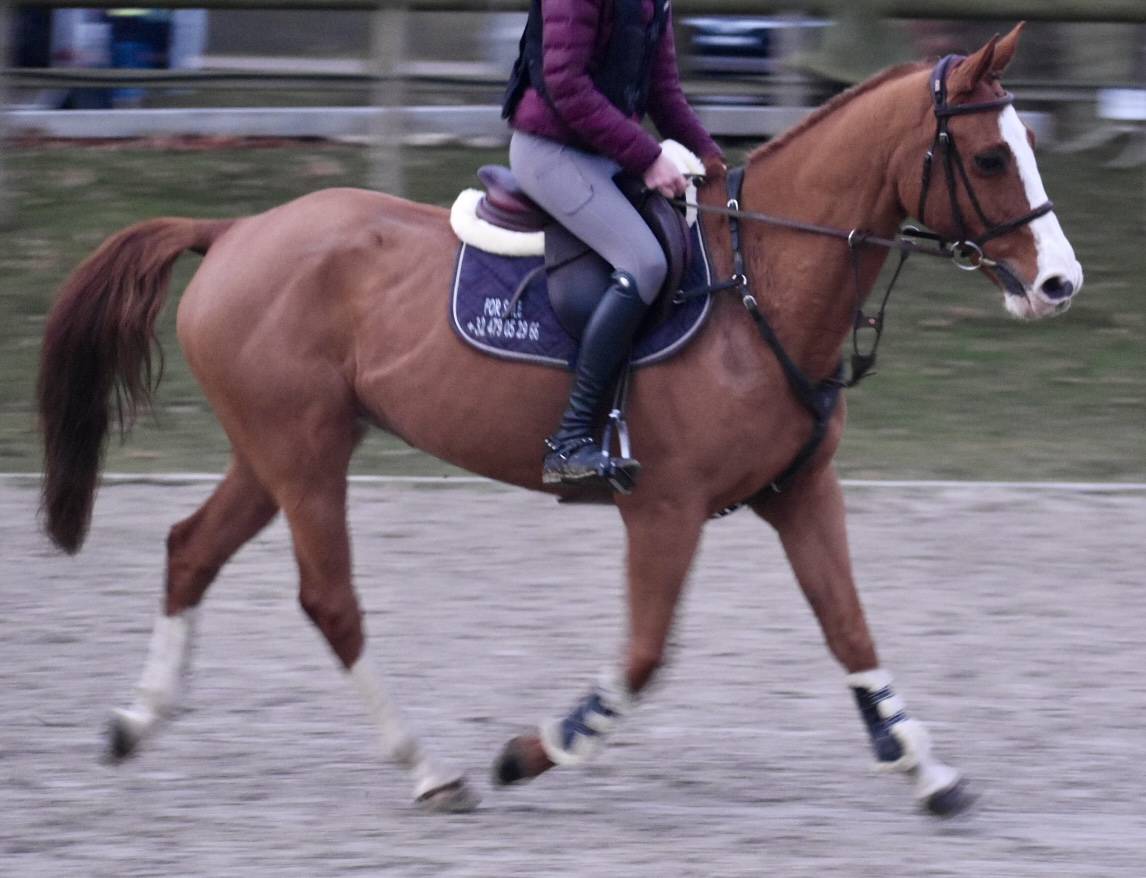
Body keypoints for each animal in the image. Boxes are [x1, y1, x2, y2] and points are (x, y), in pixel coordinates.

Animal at [37, 24, 1081, 816]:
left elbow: (853, 633)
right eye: (990, 155)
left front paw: (927, 768)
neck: (762, 285)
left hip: (274, 453)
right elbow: (644, 660)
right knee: (329, 601)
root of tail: (237, 233)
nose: (1060, 285)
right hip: (304, 455)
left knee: (190, 550)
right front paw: (531, 750)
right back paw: (431, 770)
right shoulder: (664, 509)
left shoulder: (800, 492)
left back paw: (136, 723)